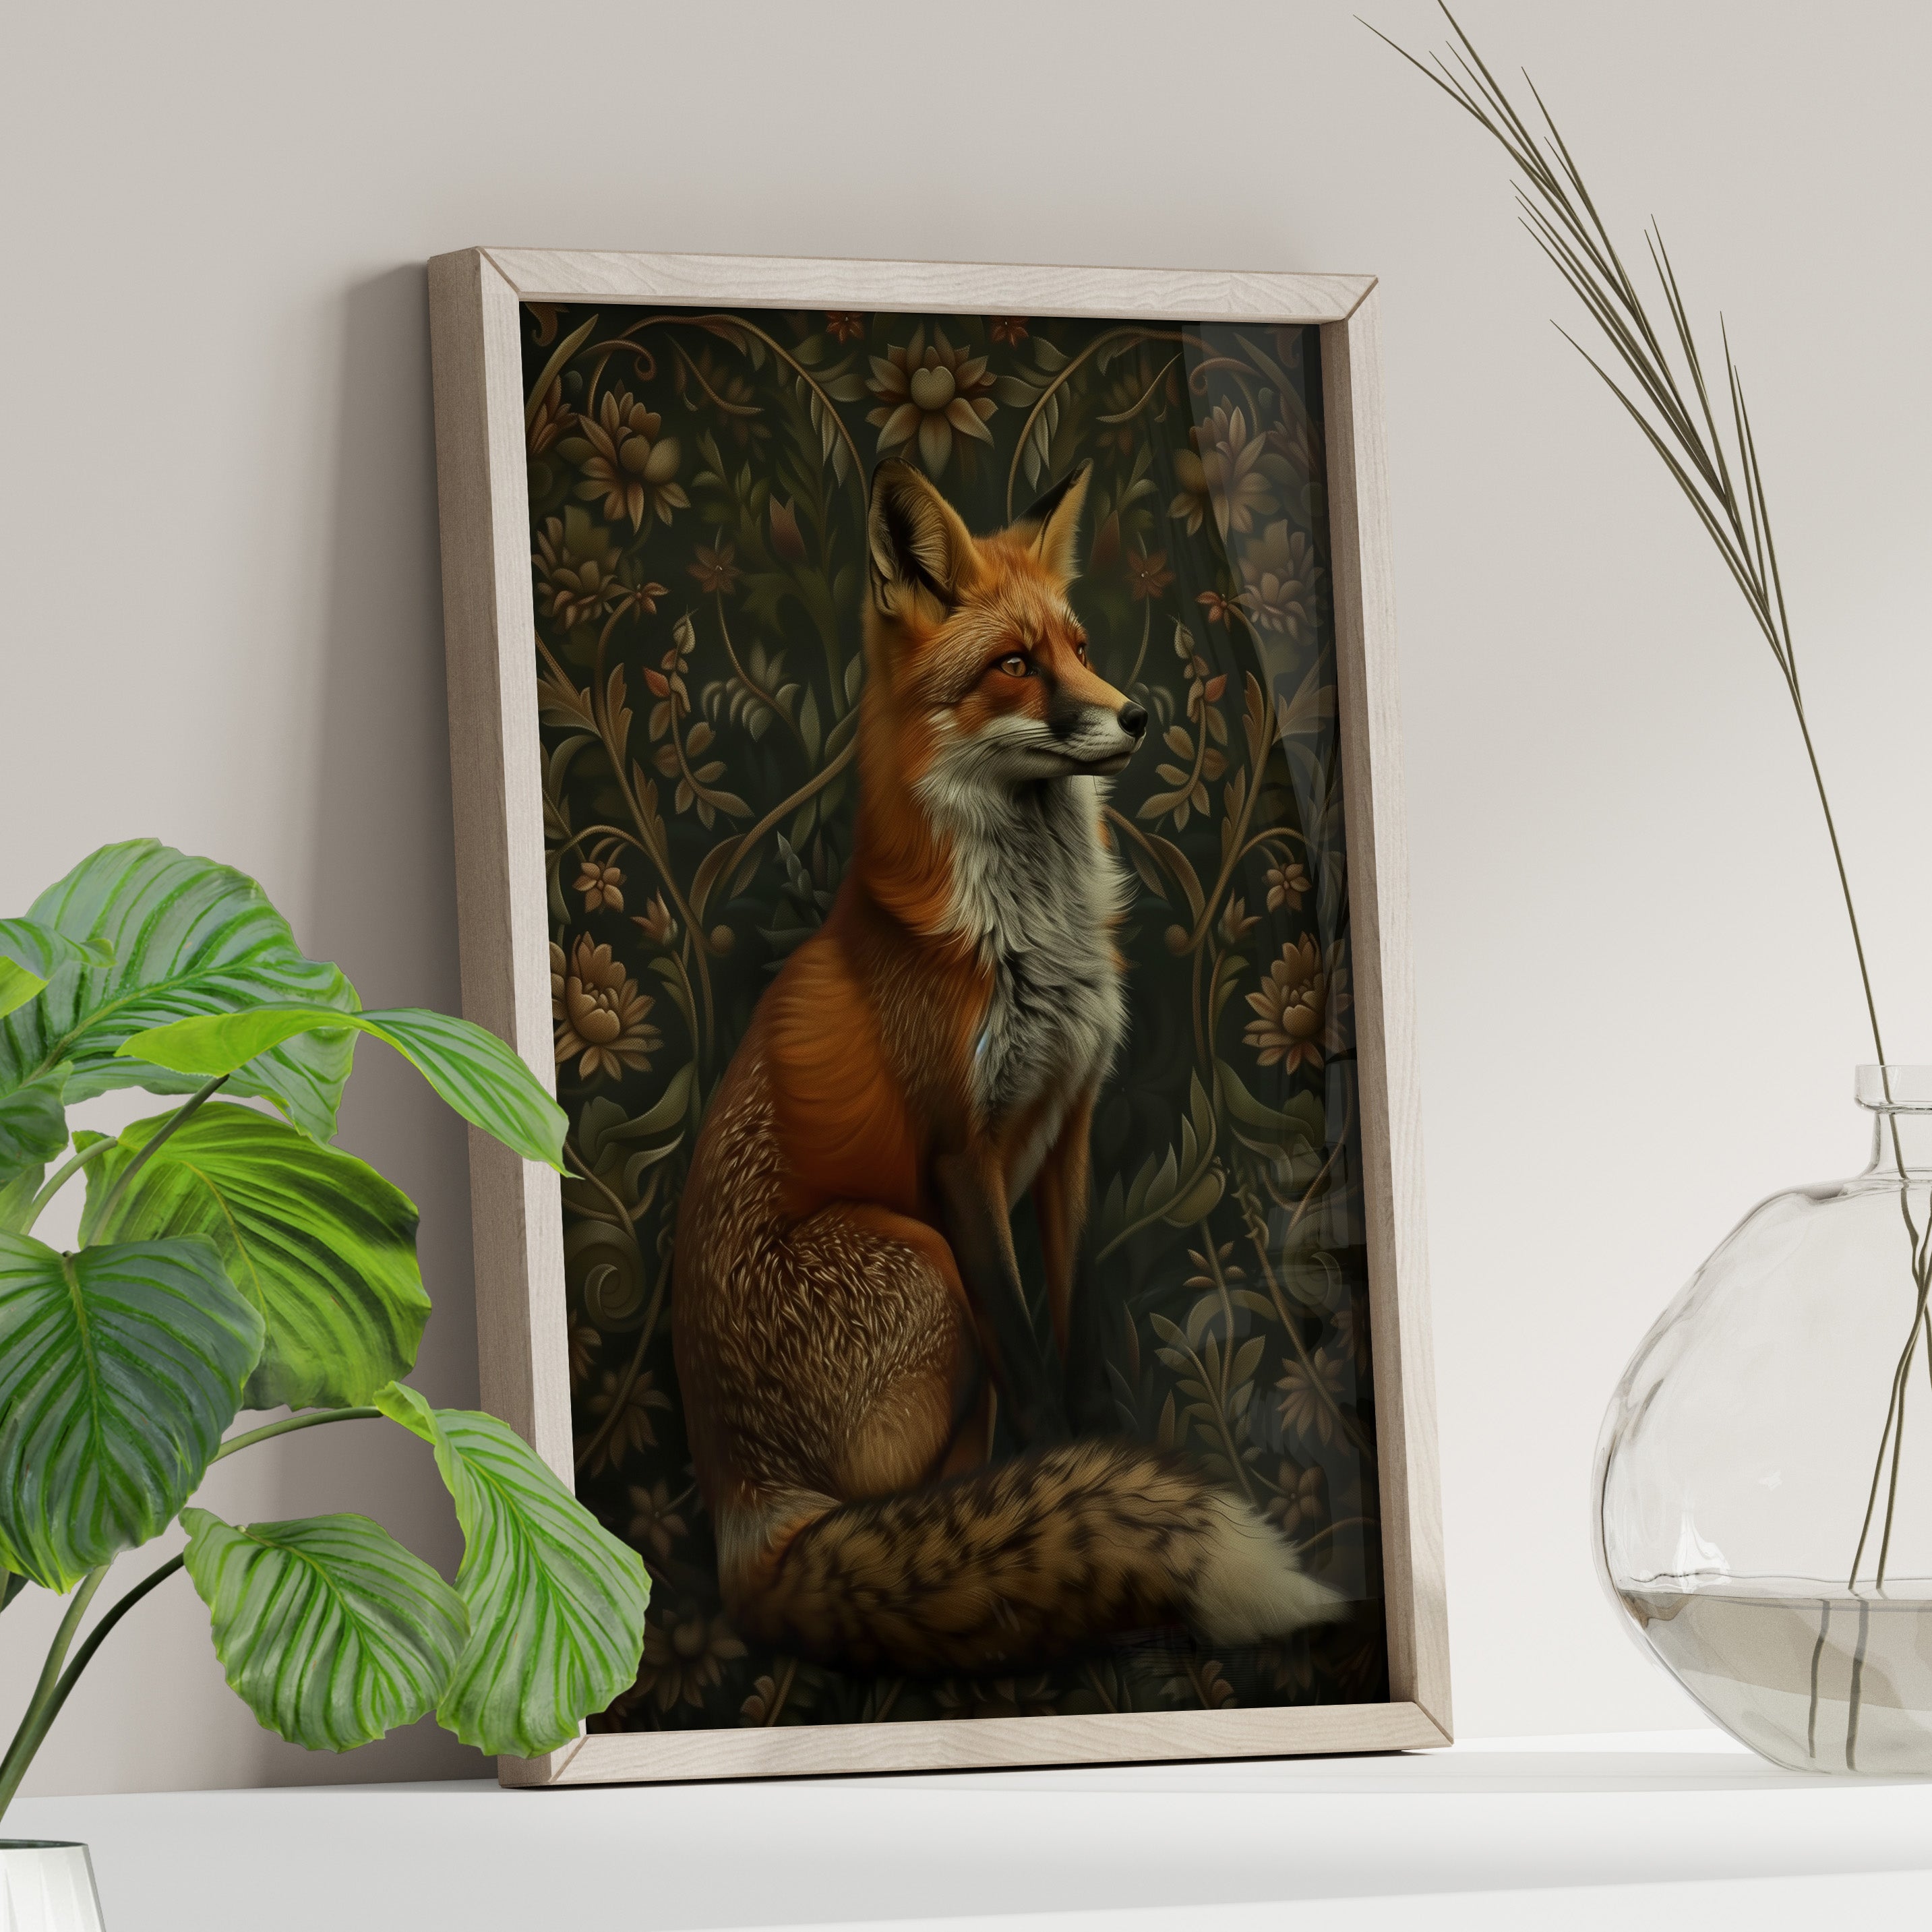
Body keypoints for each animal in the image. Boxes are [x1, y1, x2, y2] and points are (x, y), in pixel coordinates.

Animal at [670, 456, 1338, 1674]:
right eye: (1015, 665)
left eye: (1078, 642)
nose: (1138, 713)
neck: (1028, 938)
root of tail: (746, 1515)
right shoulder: (957, 1156)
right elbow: (1024, 1356)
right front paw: (1058, 1475)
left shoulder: (1068, 1122)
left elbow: (1066, 1325)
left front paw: (1090, 1451)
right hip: (918, 1254)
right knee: (913, 1490)